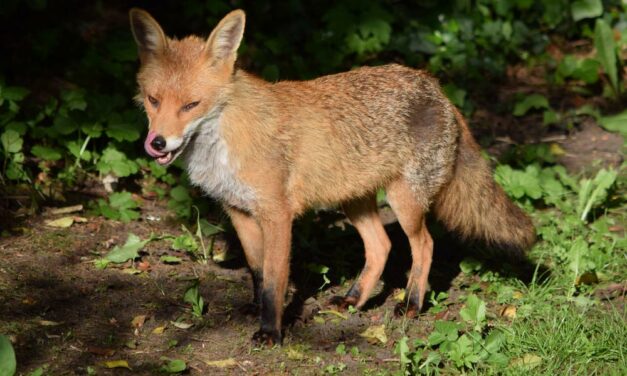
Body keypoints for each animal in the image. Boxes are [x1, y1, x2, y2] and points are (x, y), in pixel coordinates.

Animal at [129, 8, 536, 344]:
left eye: (191, 105)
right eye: (153, 100)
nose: (157, 143)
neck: (225, 137)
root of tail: (437, 87)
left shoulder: (277, 215)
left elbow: (275, 280)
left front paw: (271, 331)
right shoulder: (240, 211)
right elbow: (257, 271)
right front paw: (255, 309)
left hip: (403, 202)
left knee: (424, 245)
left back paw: (412, 304)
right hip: (353, 201)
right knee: (381, 246)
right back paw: (355, 300)